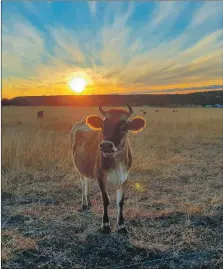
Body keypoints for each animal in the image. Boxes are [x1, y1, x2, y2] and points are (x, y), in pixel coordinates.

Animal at [70, 104, 145, 232]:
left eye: (123, 127)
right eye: (103, 126)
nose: (106, 145)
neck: (117, 161)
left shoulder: (124, 177)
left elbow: (120, 201)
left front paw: (121, 225)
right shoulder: (100, 176)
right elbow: (106, 199)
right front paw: (105, 224)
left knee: (88, 181)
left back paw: (89, 201)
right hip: (79, 168)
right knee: (83, 182)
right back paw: (84, 203)